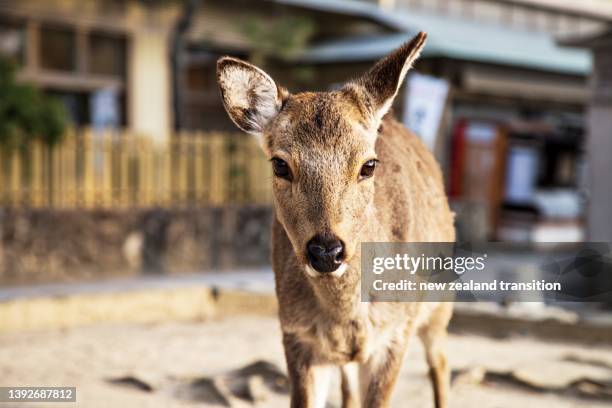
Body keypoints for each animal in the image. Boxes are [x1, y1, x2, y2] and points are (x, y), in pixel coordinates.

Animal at [218, 31, 456, 408]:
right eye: (280, 164)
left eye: (369, 164)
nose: (326, 251)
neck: (346, 318)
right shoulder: (296, 334)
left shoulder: (395, 334)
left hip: (440, 304)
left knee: (441, 362)